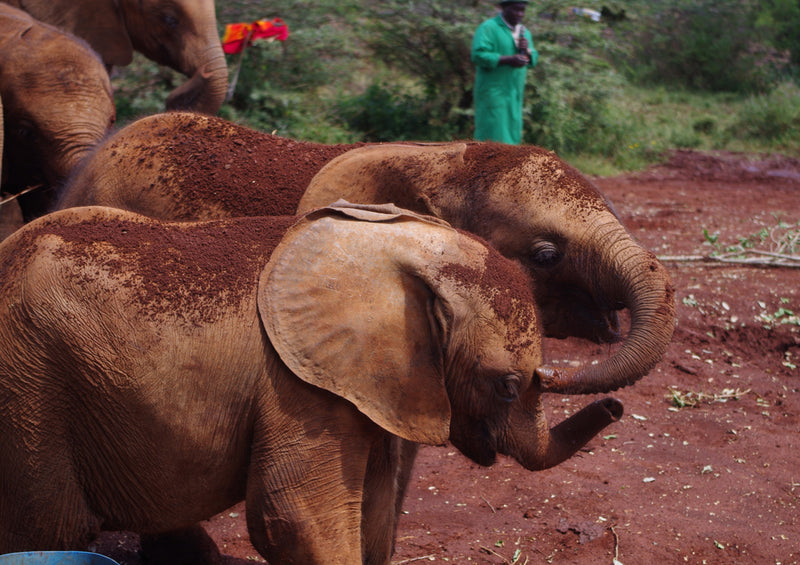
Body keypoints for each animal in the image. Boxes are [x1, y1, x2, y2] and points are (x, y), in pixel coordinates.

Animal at [0, 203, 624, 564]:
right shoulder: (299, 385)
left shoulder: (371, 384)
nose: (617, 407)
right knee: (51, 529)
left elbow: (374, 512)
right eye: (507, 386)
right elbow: (293, 516)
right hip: (29, 383)